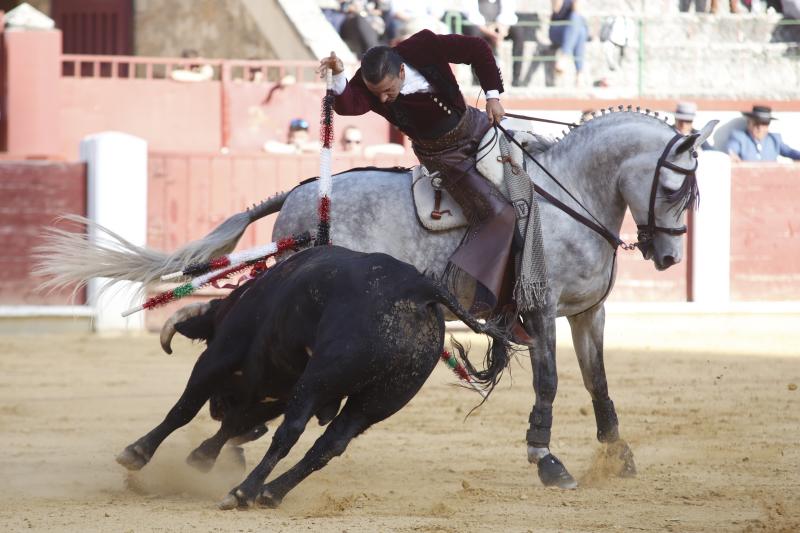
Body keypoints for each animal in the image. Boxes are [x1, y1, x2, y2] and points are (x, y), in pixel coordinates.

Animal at [115, 245, 510, 508]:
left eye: (212, 337)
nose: (217, 408)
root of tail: (420, 289)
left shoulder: (220, 356)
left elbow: (184, 409)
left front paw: (136, 452)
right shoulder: (272, 389)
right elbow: (234, 424)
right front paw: (202, 458)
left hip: (320, 378)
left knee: (290, 432)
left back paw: (244, 491)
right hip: (379, 400)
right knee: (330, 445)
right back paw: (271, 492)